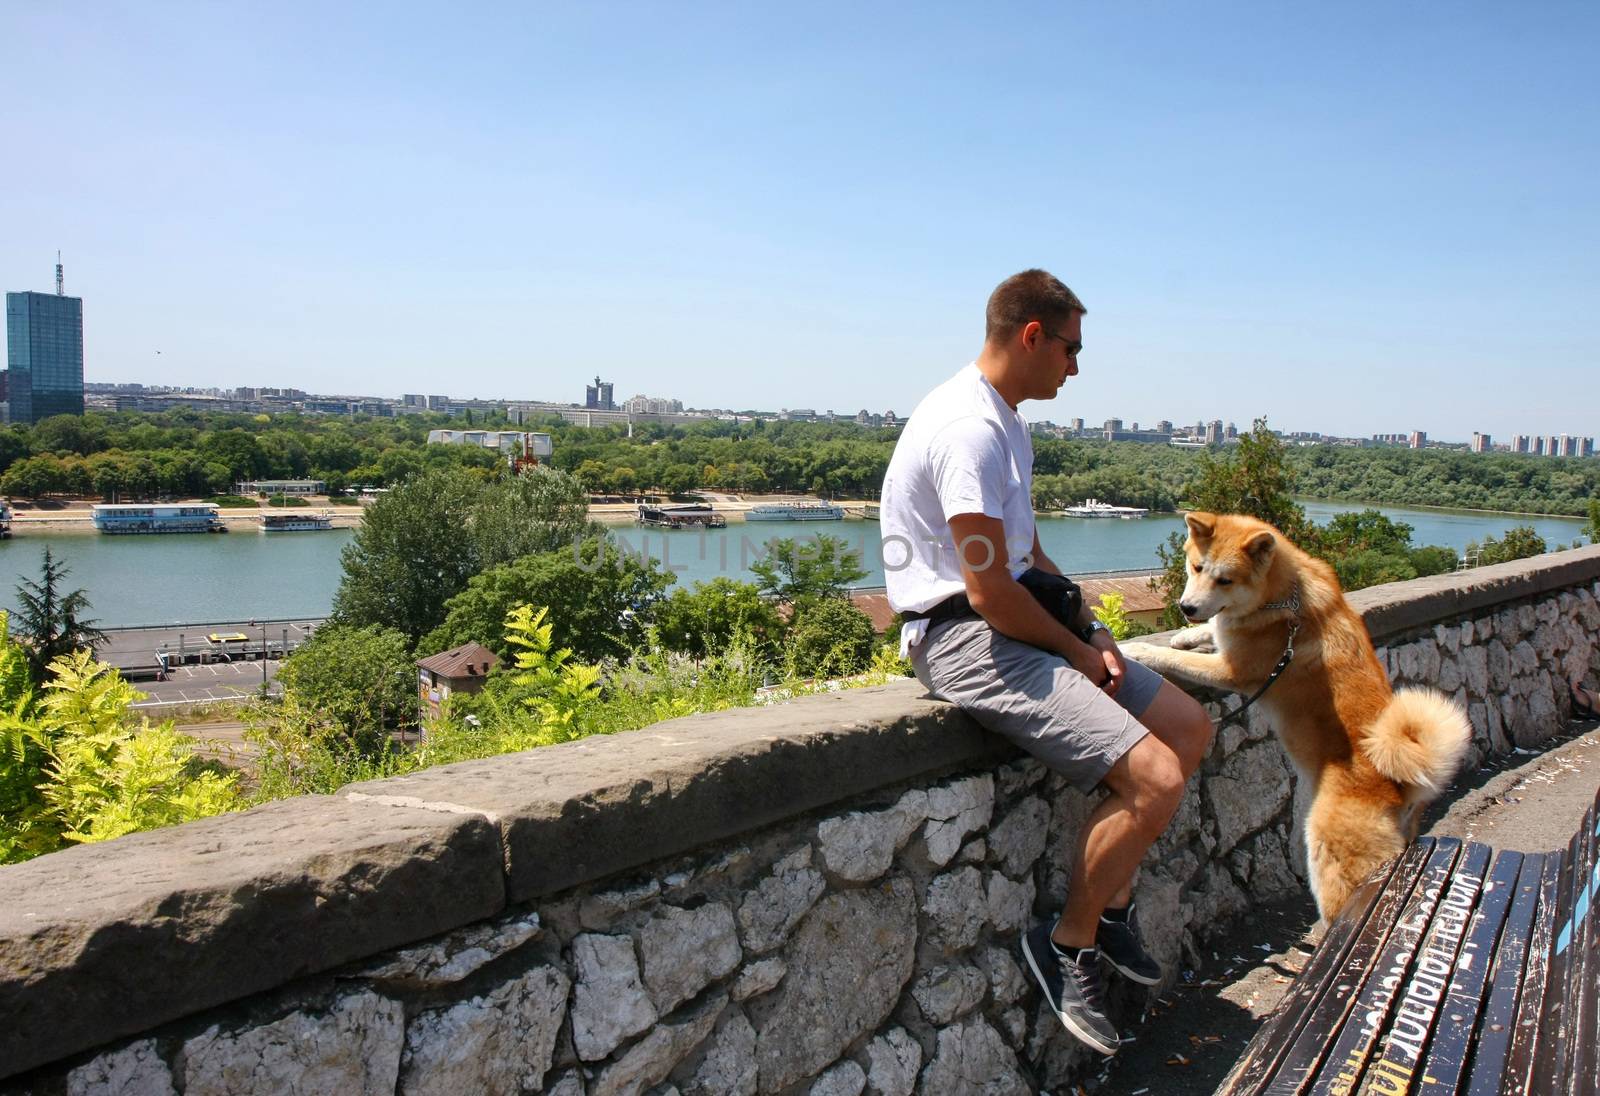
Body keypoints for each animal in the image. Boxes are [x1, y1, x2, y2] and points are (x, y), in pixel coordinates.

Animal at [1120, 512, 1465, 915]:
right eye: (1197, 567)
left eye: (1225, 580)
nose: (1186, 608)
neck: (1280, 599)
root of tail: (1400, 786)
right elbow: (1213, 628)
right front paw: (1185, 635)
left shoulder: (1233, 670)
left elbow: (1177, 656)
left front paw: (1139, 650)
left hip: (1330, 851)